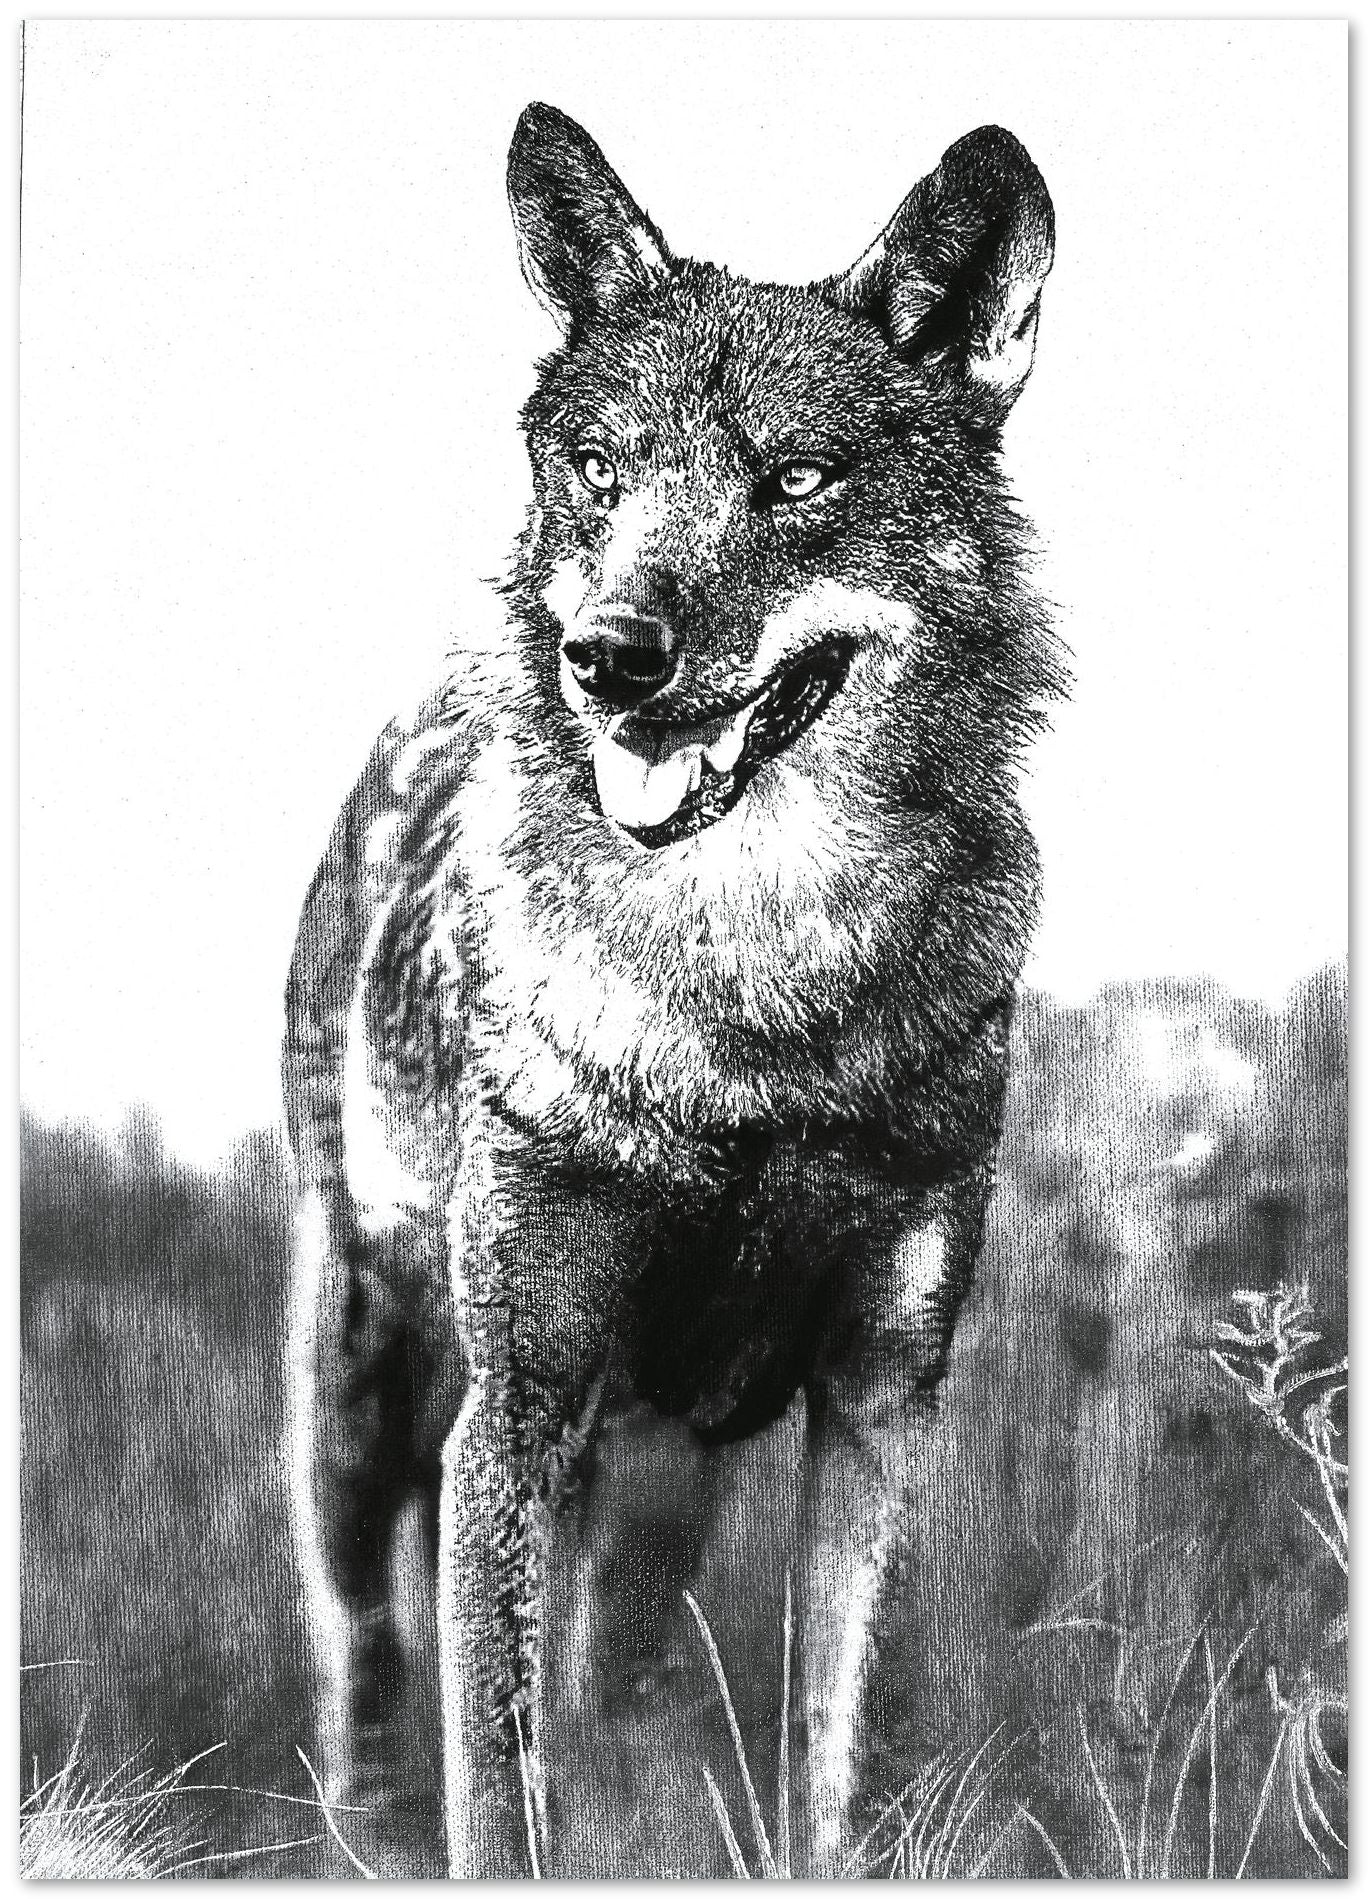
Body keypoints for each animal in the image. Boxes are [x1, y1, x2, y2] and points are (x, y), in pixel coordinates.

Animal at [283, 102, 1059, 1878]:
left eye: (795, 481)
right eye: (601, 471)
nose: (612, 659)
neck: (754, 1010)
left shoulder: (878, 1404)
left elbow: (843, 1773)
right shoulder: (517, 1405)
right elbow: (496, 1798)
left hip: (653, 1480)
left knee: (616, 1703)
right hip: (361, 1392)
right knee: (364, 1675)